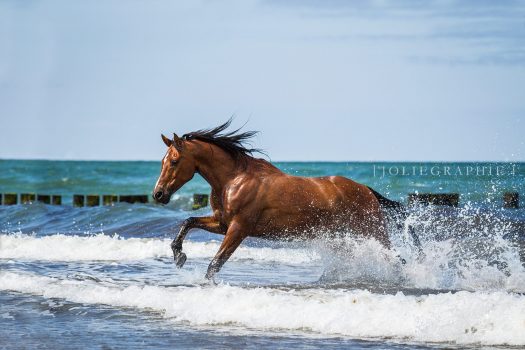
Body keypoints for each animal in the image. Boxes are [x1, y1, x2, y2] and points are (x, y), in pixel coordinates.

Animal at [151, 119, 410, 278]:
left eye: (174, 161)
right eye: (162, 161)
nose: (158, 194)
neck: (234, 179)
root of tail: (366, 190)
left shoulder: (238, 228)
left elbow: (215, 264)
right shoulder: (222, 223)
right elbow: (188, 222)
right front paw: (179, 256)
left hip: (373, 231)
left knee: (398, 260)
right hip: (344, 236)